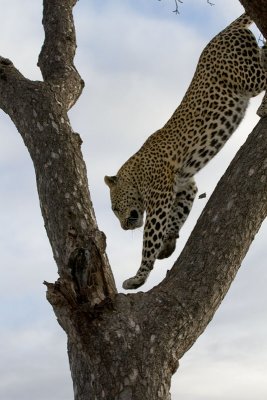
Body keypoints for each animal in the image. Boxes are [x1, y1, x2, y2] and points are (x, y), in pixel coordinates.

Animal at [104, 11, 266, 288]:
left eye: (115, 208)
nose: (124, 228)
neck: (135, 172)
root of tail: (223, 32)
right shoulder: (184, 186)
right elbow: (177, 216)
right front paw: (168, 243)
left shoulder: (159, 197)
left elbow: (149, 237)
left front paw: (138, 277)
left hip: (249, 76)